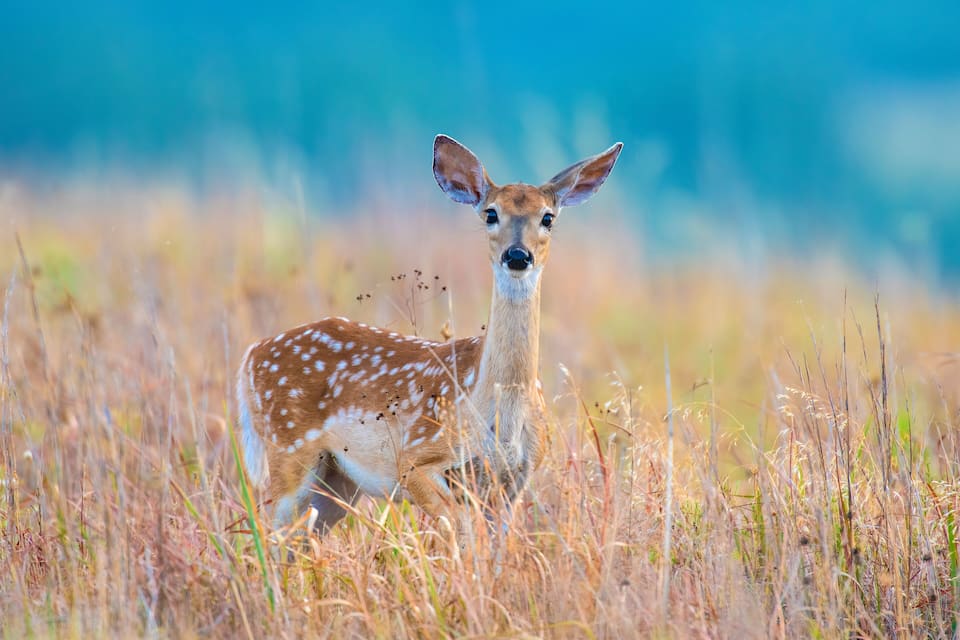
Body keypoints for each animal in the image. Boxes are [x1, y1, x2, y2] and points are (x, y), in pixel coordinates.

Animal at [236, 134, 622, 537]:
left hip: (337, 480)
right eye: (491, 213)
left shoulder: (513, 481)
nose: (517, 255)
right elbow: (459, 528)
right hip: (288, 448)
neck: (500, 412)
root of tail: (250, 356)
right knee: (269, 532)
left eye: (547, 217)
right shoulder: (416, 454)